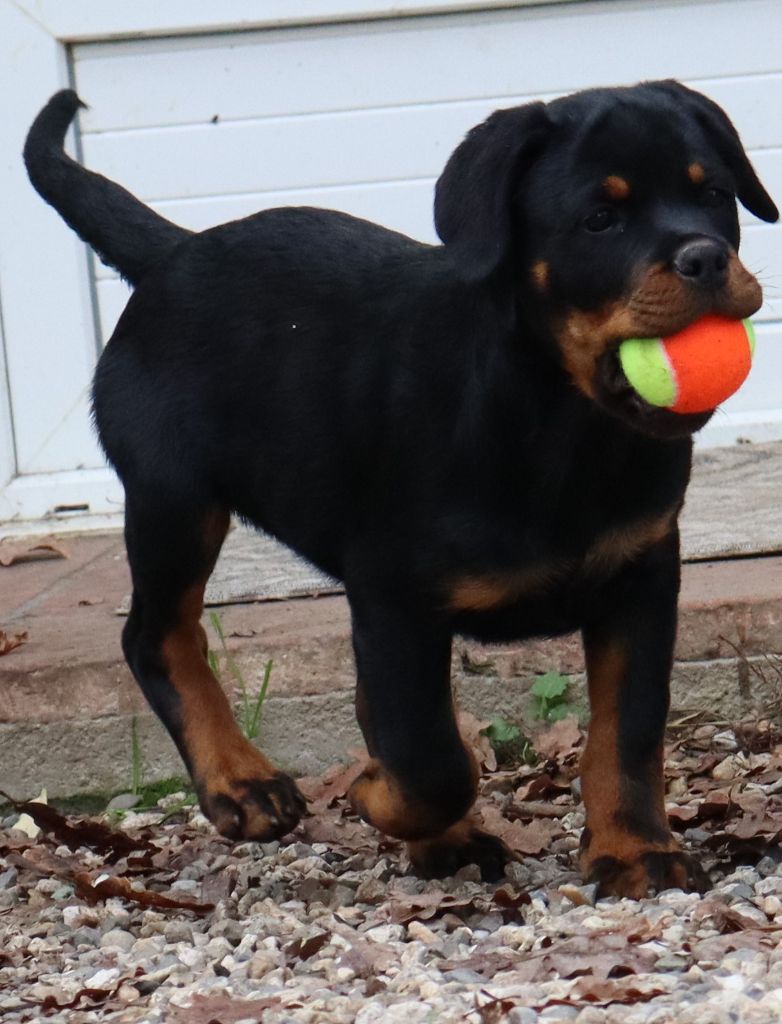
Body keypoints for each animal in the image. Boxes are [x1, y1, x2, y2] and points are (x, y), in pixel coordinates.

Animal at [24, 81, 777, 897]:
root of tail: (173, 252)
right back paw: (243, 784)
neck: (560, 424)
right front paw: (373, 793)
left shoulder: (642, 573)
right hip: (174, 498)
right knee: (156, 634)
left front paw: (635, 852)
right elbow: (430, 760)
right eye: (600, 219)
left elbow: (627, 733)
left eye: (717, 196)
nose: (707, 255)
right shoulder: (393, 597)